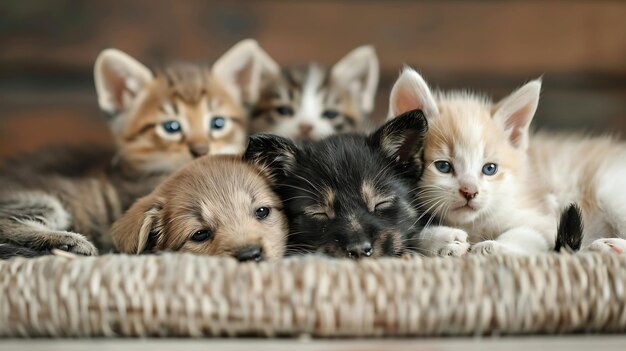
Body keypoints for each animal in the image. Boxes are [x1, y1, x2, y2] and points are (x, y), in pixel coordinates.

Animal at [388, 67, 624, 258]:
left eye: (490, 169)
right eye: (443, 166)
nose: (469, 192)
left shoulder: (541, 217)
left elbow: (529, 234)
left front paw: (491, 247)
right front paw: (442, 240)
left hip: (607, 188)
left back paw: (609, 246)